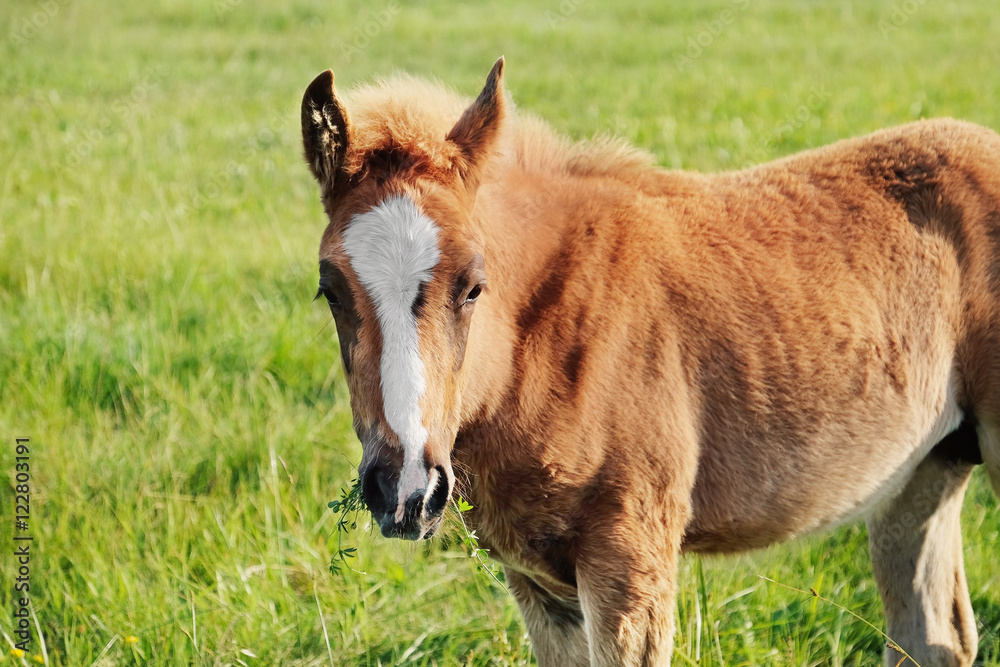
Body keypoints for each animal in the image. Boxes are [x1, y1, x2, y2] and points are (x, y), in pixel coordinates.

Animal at [300, 57, 1000, 666]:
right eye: (329, 289)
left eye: (473, 286)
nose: (405, 491)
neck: (549, 339)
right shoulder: (538, 583)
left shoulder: (631, 561)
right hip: (923, 469)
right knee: (933, 635)